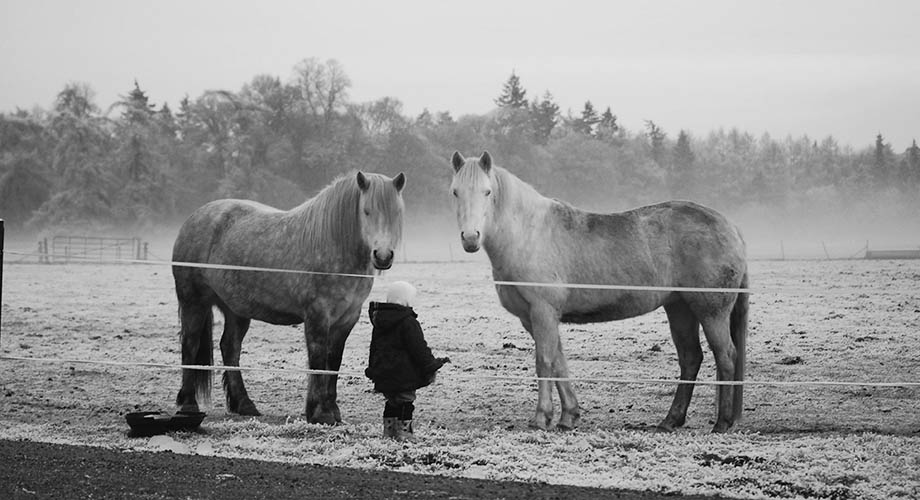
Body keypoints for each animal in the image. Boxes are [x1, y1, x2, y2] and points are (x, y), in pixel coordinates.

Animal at [452, 152, 748, 434]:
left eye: (487, 192)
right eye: (455, 192)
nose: (470, 238)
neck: (529, 235)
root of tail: (730, 227)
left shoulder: (543, 312)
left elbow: (544, 362)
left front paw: (541, 418)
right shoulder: (534, 319)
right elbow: (559, 362)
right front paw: (568, 416)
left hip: (711, 311)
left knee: (725, 356)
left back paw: (721, 422)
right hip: (680, 308)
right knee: (691, 358)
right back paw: (670, 420)